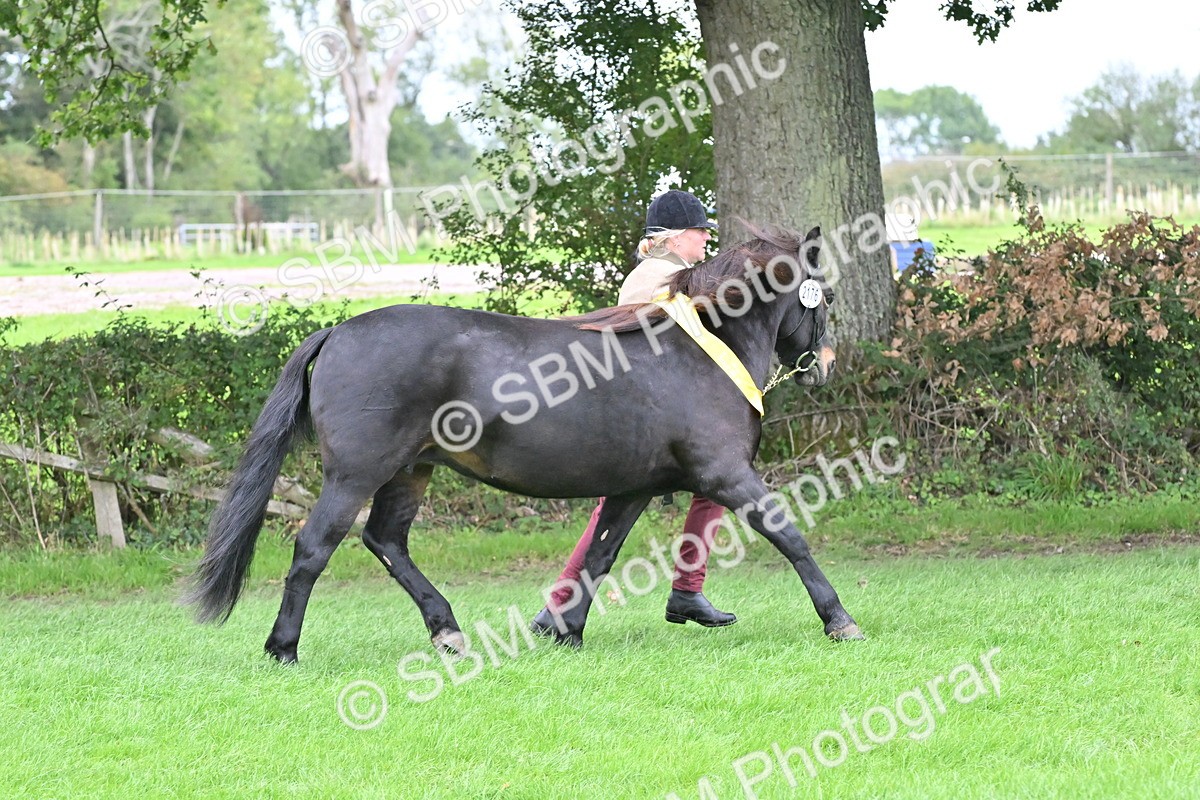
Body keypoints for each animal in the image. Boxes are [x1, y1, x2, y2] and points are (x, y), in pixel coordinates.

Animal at [185, 225, 862, 663]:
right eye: (825, 294)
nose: (826, 363)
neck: (699, 351)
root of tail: (338, 331)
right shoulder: (725, 474)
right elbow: (790, 536)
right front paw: (840, 620)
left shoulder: (632, 489)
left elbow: (598, 556)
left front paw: (567, 632)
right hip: (355, 475)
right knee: (314, 549)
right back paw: (283, 649)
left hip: (410, 472)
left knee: (386, 541)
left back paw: (448, 632)